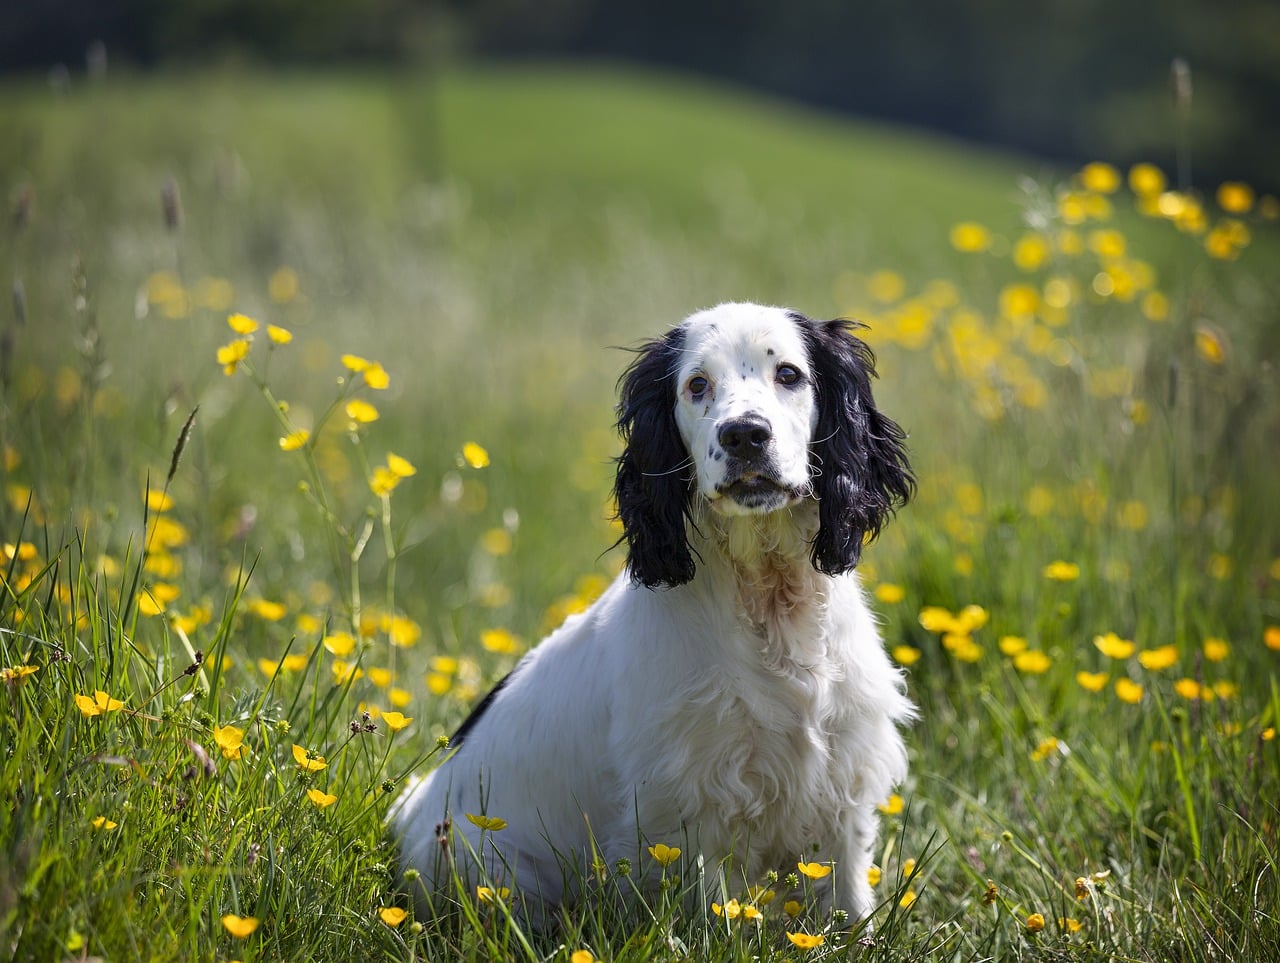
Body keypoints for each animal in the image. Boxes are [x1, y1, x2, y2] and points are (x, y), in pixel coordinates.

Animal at [394, 304, 916, 922]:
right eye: (697, 384)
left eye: (788, 374)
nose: (745, 435)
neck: (767, 600)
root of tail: (407, 819)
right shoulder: (687, 803)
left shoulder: (842, 781)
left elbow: (847, 904)